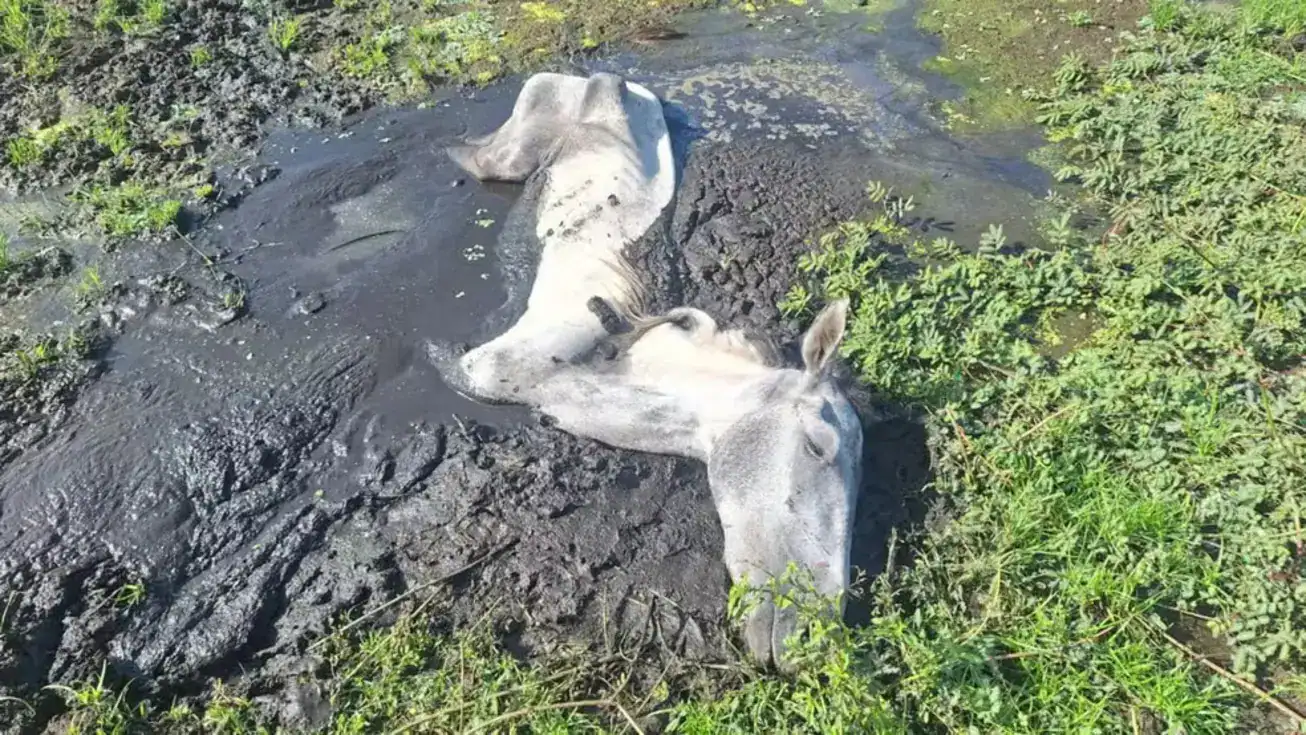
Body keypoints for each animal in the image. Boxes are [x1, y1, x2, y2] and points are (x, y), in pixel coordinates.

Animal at [441, 71, 864, 670]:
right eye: (816, 445)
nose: (816, 639)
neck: (612, 361)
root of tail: (593, 76)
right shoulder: (481, 367)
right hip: (529, 131)